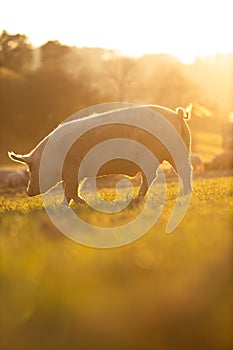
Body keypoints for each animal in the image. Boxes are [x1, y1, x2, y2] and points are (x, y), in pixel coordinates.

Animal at [8, 105, 192, 206]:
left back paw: (138, 198)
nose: (27, 192)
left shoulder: (72, 168)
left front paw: (85, 205)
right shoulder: (73, 172)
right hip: (179, 151)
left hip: (160, 153)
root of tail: (176, 114)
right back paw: (185, 193)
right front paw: (63, 206)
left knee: (155, 175)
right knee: (184, 170)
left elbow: (72, 191)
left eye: (30, 168)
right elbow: (68, 192)